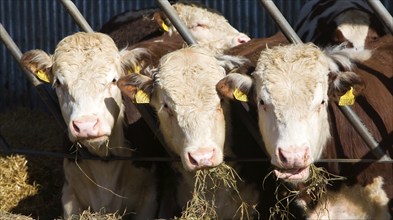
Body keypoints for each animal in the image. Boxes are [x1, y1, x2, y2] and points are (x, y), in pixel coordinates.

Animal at [19, 31, 158, 219]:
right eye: (58, 83)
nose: (86, 126)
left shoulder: (148, 196)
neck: (104, 160)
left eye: (114, 80)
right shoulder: (70, 196)